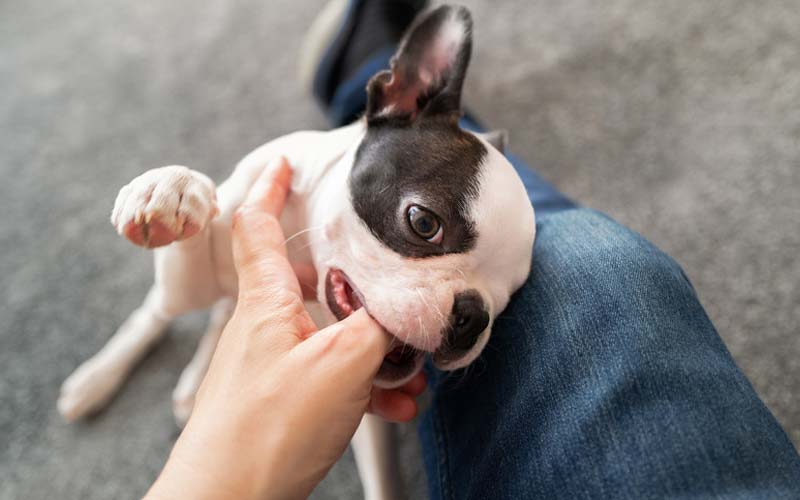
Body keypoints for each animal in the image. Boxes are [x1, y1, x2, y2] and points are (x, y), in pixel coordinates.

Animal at [59, 4, 536, 500]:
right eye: (424, 223)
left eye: (509, 295)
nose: (473, 317)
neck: (299, 246)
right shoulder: (204, 265)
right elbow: (194, 226)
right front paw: (173, 187)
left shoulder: (365, 418)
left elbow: (384, 480)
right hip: (179, 296)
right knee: (156, 313)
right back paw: (97, 378)